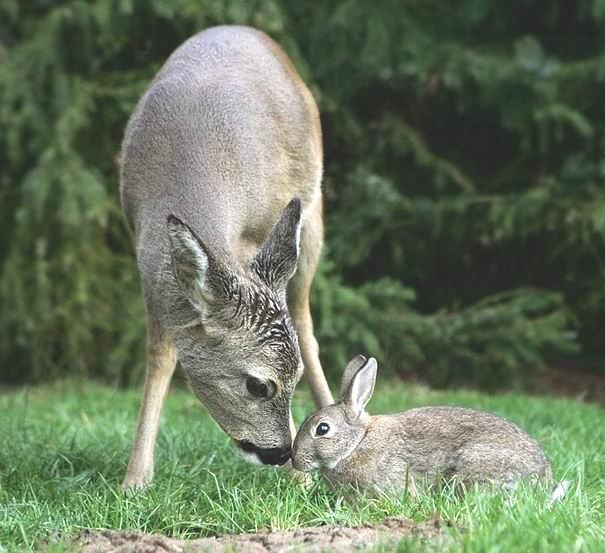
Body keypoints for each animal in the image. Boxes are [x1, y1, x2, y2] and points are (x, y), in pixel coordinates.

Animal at [119, 24, 332, 488]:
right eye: (257, 385)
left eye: (293, 379)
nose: (282, 452)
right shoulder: (147, 260)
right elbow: (161, 354)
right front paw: (136, 479)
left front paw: (303, 477)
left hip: (312, 220)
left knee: (306, 322)